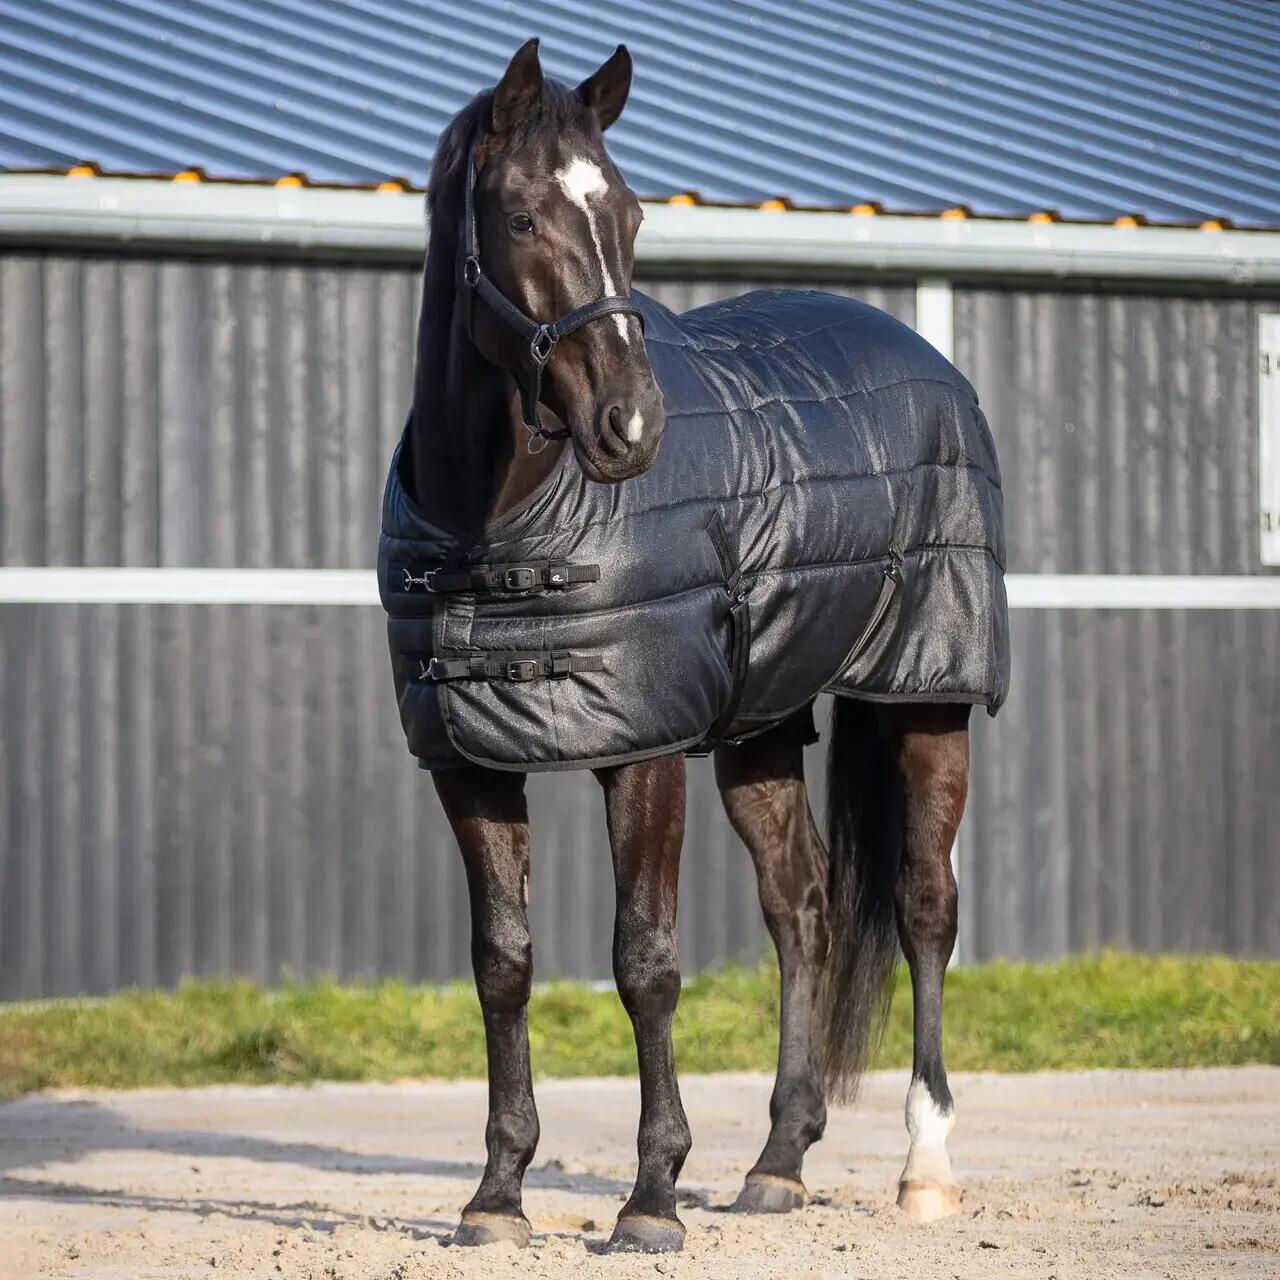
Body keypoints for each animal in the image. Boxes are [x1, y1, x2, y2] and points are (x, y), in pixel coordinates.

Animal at [387, 37, 1007, 1253]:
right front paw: (496, 1193)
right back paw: (777, 1162)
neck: (498, 519)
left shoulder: (645, 749)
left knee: (923, 906)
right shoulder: (468, 761)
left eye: (629, 213)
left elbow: (645, 960)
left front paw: (651, 1197)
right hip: (762, 724)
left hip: (926, 694)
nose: (633, 428)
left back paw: (924, 1167)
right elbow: (503, 964)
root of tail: (927, 362)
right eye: (522, 217)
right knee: (802, 906)